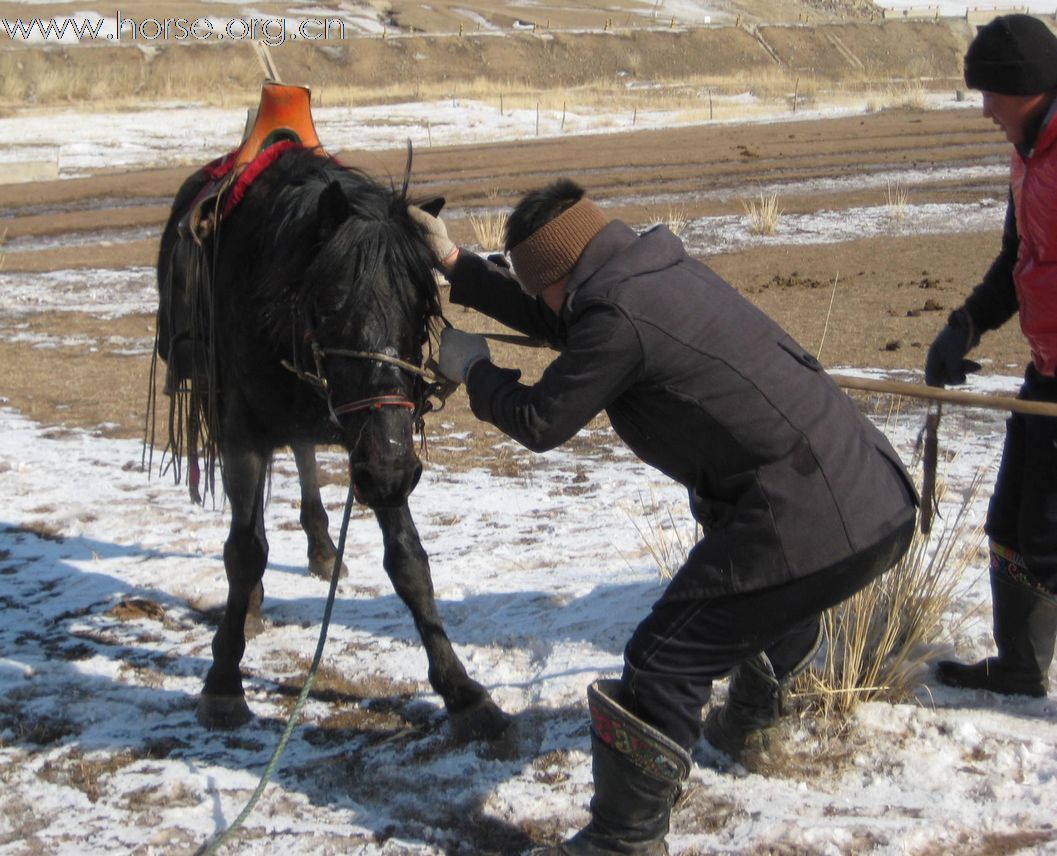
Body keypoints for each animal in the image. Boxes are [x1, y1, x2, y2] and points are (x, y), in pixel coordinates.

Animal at [151, 143, 509, 735]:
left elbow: (408, 561)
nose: (391, 473)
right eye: (331, 305)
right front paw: (223, 684)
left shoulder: (375, 441)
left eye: (421, 308)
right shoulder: (245, 426)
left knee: (302, 452)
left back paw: (322, 548)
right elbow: (245, 550)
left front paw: (462, 691)